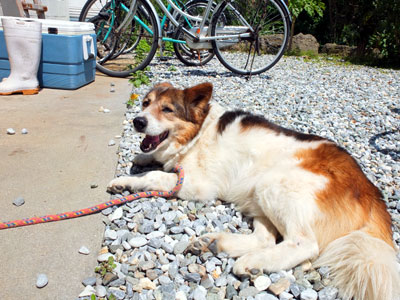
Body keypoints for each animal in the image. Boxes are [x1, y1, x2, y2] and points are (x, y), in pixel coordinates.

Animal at [107, 82, 400, 300]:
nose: (138, 121)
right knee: (266, 239)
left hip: (273, 184)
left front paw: (126, 179)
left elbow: (154, 175)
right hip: (257, 196)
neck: (198, 134)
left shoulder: (196, 184)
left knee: (304, 244)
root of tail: (370, 190)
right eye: (145, 103)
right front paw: (139, 161)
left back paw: (250, 261)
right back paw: (217, 243)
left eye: (167, 109)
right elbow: (151, 159)